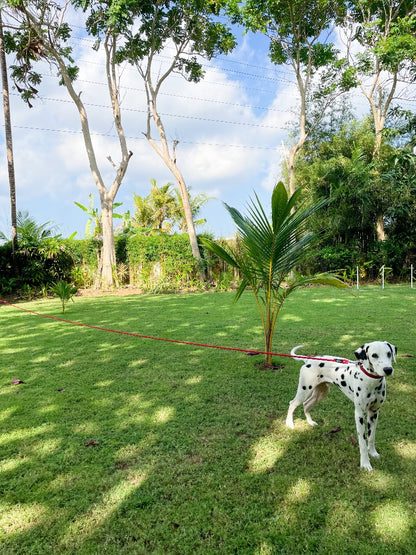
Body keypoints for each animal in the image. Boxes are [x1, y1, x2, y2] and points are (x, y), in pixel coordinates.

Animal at [286, 340, 396, 472]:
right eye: (374, 355)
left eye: (389, 353)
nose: (388, 369)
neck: (372, 381)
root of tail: (308, 360)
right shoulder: (359, 415)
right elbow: (362, 442)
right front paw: (365, 463)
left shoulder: (374, 413)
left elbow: (371, 437)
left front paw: (373, 453)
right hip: (304, 391)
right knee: (292, 403)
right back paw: (289, 424)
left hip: (320, 393)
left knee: (306, 404)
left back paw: (310, 422)